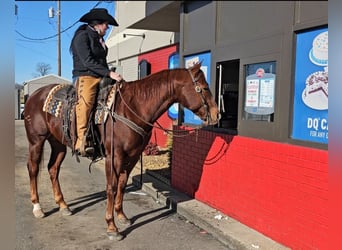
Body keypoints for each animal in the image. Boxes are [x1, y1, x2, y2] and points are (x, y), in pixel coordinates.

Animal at [23, 62, 219, 240]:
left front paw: (121, 216)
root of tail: (33, 96)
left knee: (53, 169)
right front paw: (111, 227)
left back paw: (63, 205)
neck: (133, 108)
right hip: (36, 141)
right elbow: (111, 186)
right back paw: (37, 208)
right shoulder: (114, 156)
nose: (217, 114)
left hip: (58, 144)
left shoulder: (132, 156)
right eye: (203, 88)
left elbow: (122, 185)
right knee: (33, 169)